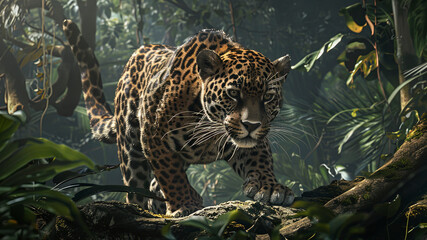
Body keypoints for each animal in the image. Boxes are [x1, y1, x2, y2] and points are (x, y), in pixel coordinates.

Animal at [63, 19, 294, 217]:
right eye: (233, 93)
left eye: (268, 96)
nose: (251, 125)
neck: (208, 124)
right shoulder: (153, 135)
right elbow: (171, 175)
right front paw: (186, 203)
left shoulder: (247, 140)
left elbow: (260, 159)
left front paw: (269, 187)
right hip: (131, 152)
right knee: (136, 189)